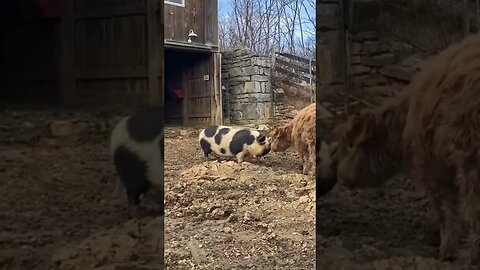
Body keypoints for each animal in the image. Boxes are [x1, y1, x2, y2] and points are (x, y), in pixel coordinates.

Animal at [332, 33, 480, 264]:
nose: (341, 177)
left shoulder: (430, 162)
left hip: (471, 156)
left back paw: (471, 257)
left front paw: (445, 250)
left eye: (350, 144)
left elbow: (444, 206)